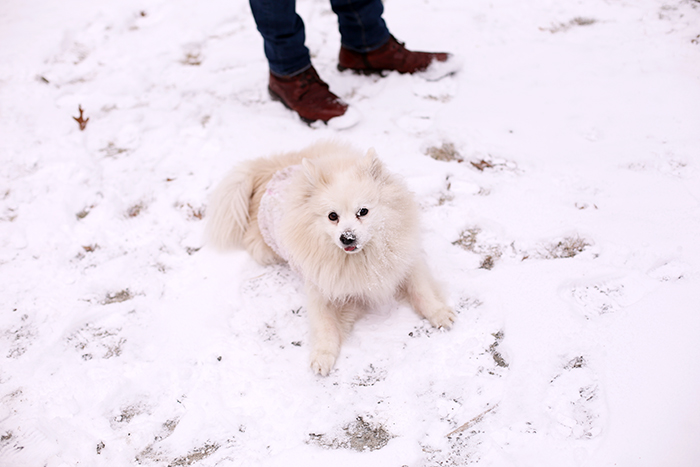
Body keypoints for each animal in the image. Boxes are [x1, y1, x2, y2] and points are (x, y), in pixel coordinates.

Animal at [205, 140, 456, 376]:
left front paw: (440, 314)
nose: (347, 237)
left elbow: (422, 291)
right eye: (332, 216)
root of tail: (270, 169)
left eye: (363, 211)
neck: (362, 257)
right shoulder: (320, 289)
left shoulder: (406, 263)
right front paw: (322, 356)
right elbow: (324, 326)